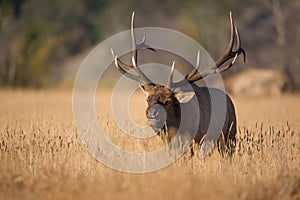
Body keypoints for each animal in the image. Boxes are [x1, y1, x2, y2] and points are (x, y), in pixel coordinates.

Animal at [110, 12, 246, 158]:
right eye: (147, 99)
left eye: (168, 101)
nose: (152, 113)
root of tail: (229, 99)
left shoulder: (193, 139)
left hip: (229, 135)